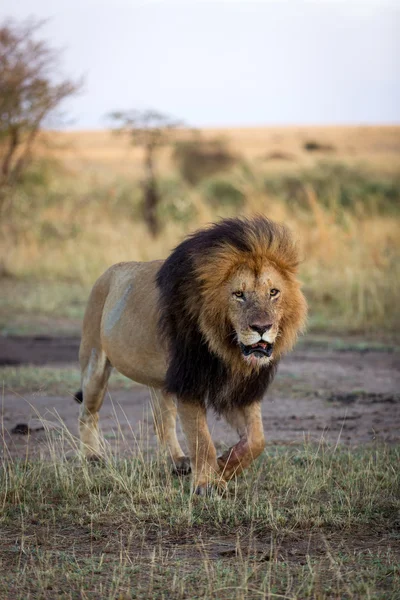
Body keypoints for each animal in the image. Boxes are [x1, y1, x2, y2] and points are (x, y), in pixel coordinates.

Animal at [75, 218, 306, 494]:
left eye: (273, 292)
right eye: (238, 294)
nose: (261, 327)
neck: (227, 352)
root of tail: (107, 272)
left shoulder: (238, 389)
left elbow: (257, 440)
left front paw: (225, 467)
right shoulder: (189, 383)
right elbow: (201, 439)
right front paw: (207, 483)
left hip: (161, 381)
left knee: (163, 422)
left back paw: (177, 462)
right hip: (94, 363)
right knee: (87, 412)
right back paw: (92, 456)